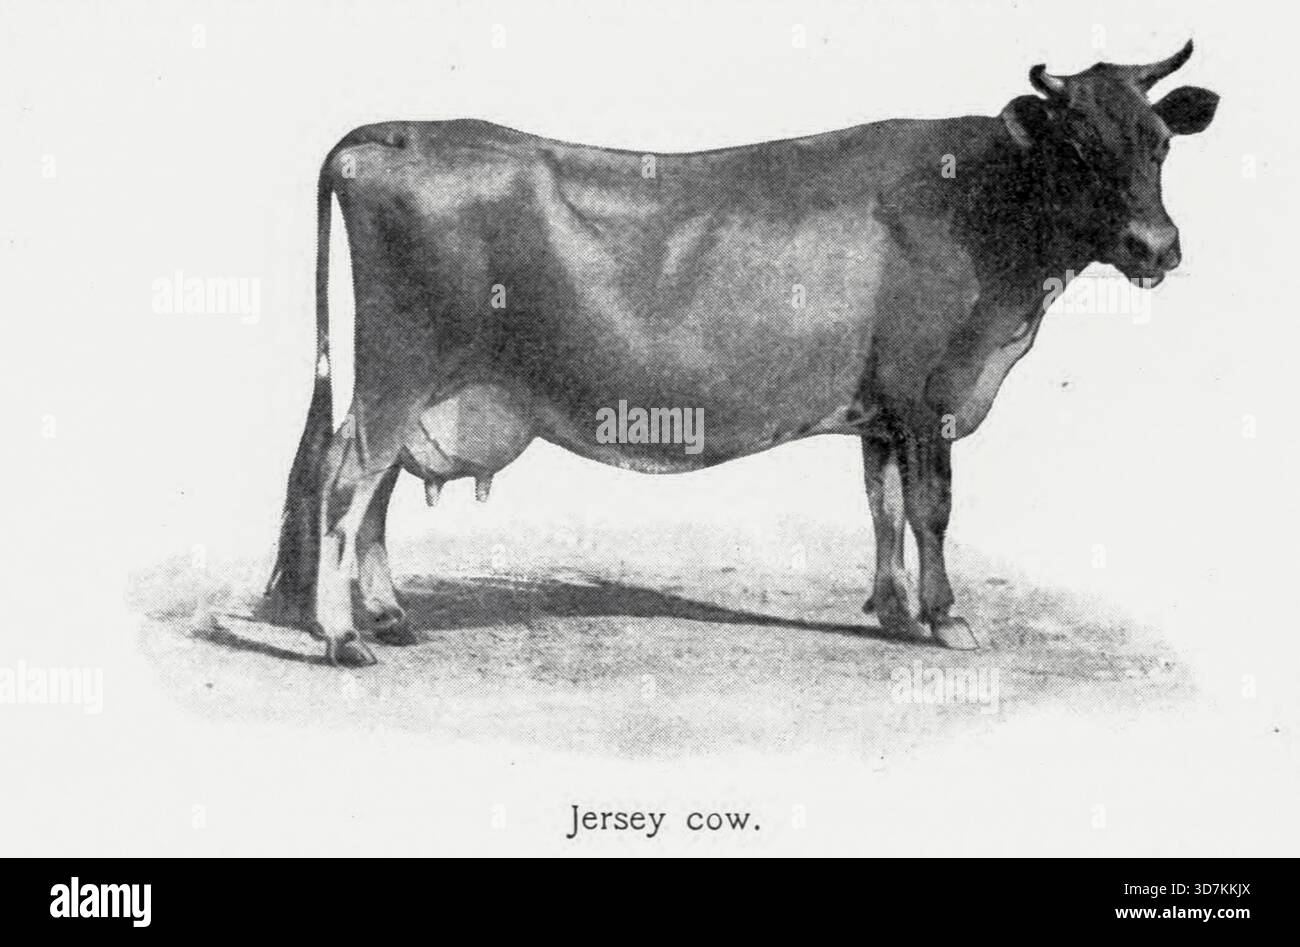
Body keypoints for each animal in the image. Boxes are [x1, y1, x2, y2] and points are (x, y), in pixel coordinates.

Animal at [263, 42, 1217, 666]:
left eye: (1161, 144)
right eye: (1080, 146)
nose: (1157, 246)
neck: (984, 199)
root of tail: (398, 131)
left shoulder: (880, 410)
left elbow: (882, 506)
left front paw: (891, 611)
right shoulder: (929, 397)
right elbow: (933, 509)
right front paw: (948, 619)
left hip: (418, 386)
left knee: (372, 487)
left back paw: (390, 617)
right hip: (399, 369)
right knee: (344, 481)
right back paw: (343, 637)